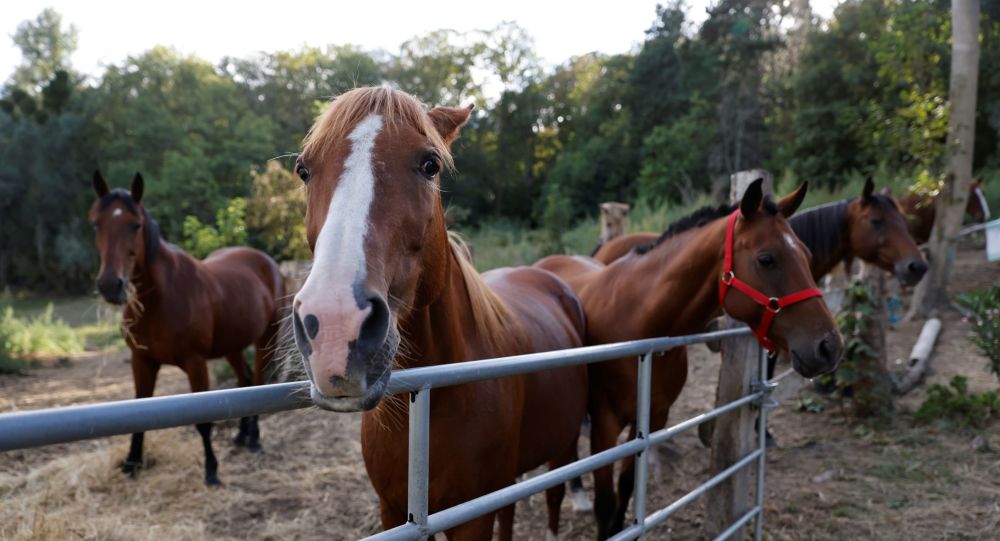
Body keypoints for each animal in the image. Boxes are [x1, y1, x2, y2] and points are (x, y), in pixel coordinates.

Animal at [90, 171, 286, 484]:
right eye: (96, 223)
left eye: (135, 225)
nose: (111, 285)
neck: (159, 299)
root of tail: (266, 261)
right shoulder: (142, 361)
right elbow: (137, 410)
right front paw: (132, 463)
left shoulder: (195, 364)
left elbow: (203, 420)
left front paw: (211, 470)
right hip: (232, 346)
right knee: (243, 381)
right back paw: (242, 436)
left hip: (266, 339)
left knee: (257, 381)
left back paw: (254, 438)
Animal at [288, 87, 584, 540]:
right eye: (303, 170)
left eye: (430, 165)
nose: (336, 327)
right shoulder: (392, 510)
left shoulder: (472, 520)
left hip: (563, 445)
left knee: (554, 495)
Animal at [536, 179, 840, 536]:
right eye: (766, 259)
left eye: (807, 255)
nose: (829, 346)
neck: (638, 322)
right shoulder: (605, 424)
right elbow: (606, 502)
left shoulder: (650, 418)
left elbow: (626, 488)